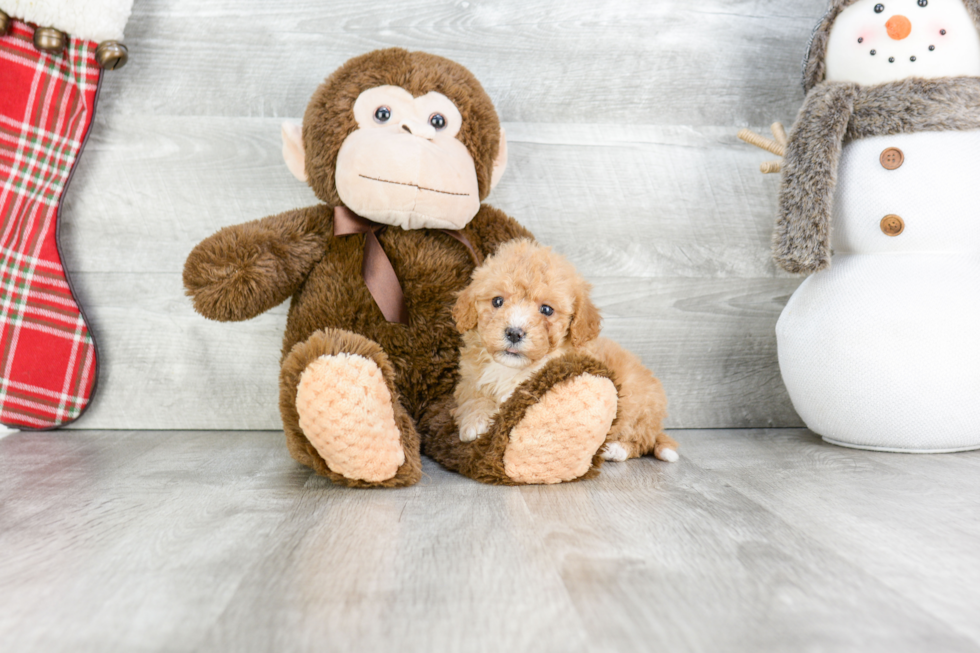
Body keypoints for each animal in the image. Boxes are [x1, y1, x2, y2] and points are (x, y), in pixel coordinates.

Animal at [450, 241, 672, 464]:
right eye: (497, 301)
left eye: (547, 310)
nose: (514, 333)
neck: (514, 369)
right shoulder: (471, 377)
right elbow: (473, 395)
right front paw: (475, 422)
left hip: (639, 407)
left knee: (642, 439)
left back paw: (616, 449)